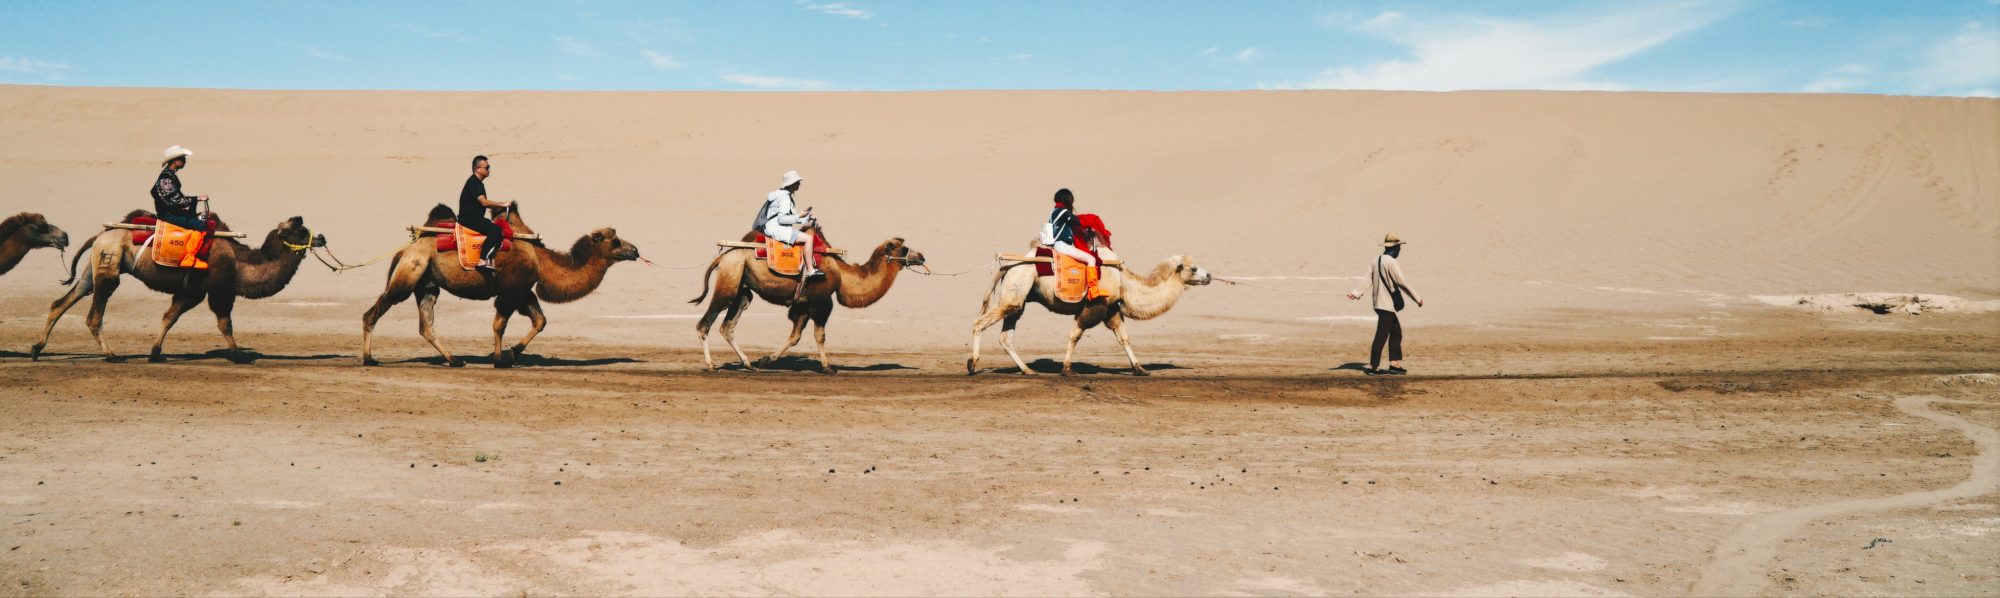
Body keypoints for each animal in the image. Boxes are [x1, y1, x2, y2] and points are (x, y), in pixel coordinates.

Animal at [32, 211, 323, 362]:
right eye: (300, 230)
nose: (321, 237)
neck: (240, 263)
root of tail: (100, 235)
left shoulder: (191, 291)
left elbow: (169, 317)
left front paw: (155, 352)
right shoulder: (212, 291)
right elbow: (224, 323)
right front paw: (240, 355)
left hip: (94, 269)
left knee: (62, 301)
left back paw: (36, 349)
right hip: (108, 267)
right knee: (93, 315)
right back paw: (111, 355)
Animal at [360, 204, 640, 368]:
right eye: (615, 241)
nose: (635, 250)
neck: (541, 260)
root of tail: (406, 249)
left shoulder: (524, 290)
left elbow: (540, 321)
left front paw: (514, 352)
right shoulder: (509, 290)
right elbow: (499, 325)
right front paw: (499, 359)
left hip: (427, 284)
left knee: (426, 326)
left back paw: (454, 360)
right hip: (410, 273)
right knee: (374, 312)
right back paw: (369, 359)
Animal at [689, 226, 925, 373]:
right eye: (904, 248)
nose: (921, 256)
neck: (841, 274)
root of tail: (722, 257)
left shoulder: (803, 304)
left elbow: (795, 336)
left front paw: (767, 360)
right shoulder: (822, 302)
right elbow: (819, 335)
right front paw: (828, 367)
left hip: (742, 291)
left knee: (727, 326)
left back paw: (748, 364)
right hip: (729, 283)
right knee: (704, 324)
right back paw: (711, 366)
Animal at [968, 247, 1211, 376]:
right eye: (1194, 268)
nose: (1209, 275)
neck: (1124, 282)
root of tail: (1007, 266)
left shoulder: (1112, 308)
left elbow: (1124, 338)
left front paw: (1140, 368)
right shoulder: (1096, 306)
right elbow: (1075, 335)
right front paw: (1067, 369)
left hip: (1019, 299)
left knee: (1005, 336)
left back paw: (1028, 370)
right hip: (1016, 289)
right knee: (979, 323)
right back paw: (972, 364)